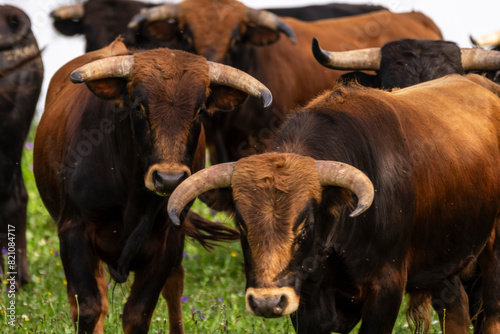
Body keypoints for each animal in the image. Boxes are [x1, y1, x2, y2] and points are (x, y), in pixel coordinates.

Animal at [32, 37, 270, 332]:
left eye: (199, 111)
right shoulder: (73, 230)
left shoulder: (166, 240)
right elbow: (88, 308)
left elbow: (138, 313)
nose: (169, 178)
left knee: (175, 285)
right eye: (138, 108)